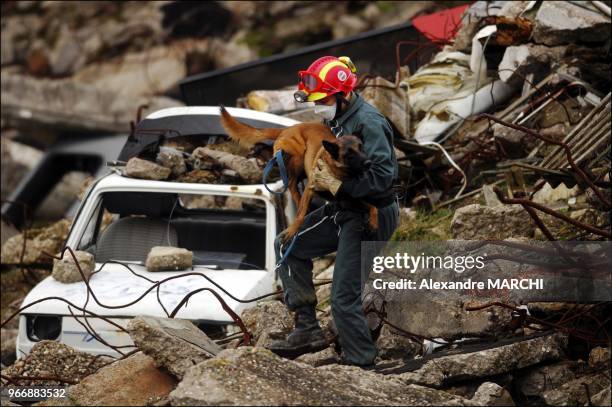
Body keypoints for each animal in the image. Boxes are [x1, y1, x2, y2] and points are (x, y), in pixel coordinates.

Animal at [220, 107, 378, 242]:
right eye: (349, 155)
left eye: (362, 148)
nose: (369, 162)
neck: (337, 172)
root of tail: (288, 128)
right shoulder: (310, 188)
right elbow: (300, 214)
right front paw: (293, 230)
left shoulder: (350, 199)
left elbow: (372, 206)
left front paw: (374, 222)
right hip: (299, 156)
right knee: (291, 183)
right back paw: (298, 198)